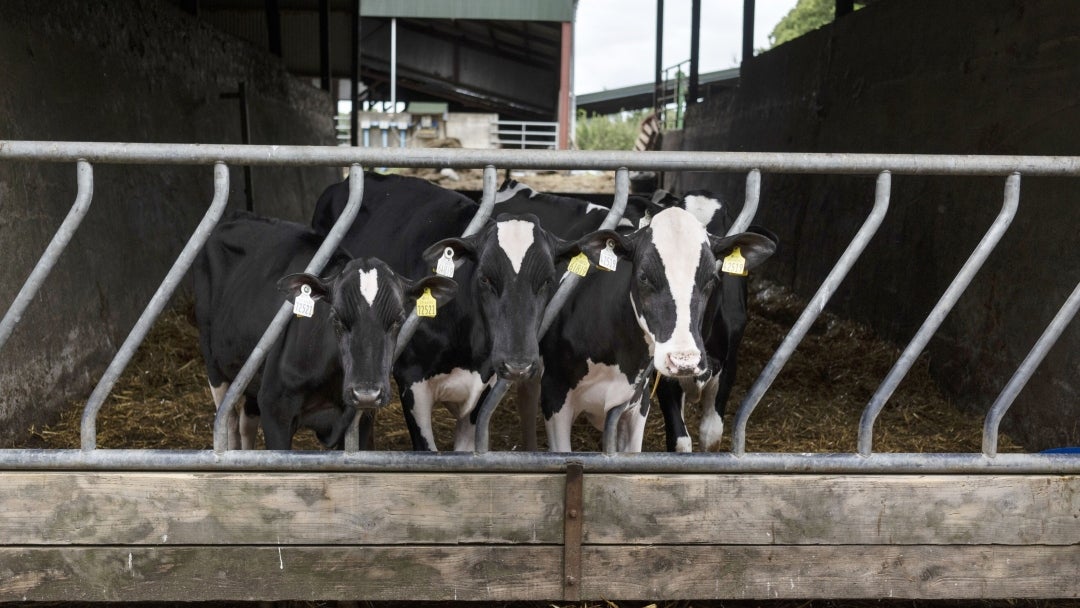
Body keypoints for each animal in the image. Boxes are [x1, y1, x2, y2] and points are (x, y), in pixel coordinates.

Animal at [194, 211, 455, 449]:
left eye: (398, 319)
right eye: (336, 318)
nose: (366, 393)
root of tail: (238, 215)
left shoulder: (362, 420)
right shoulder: (275, 408)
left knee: (246, 421)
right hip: (214, 366)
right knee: (228, 422)